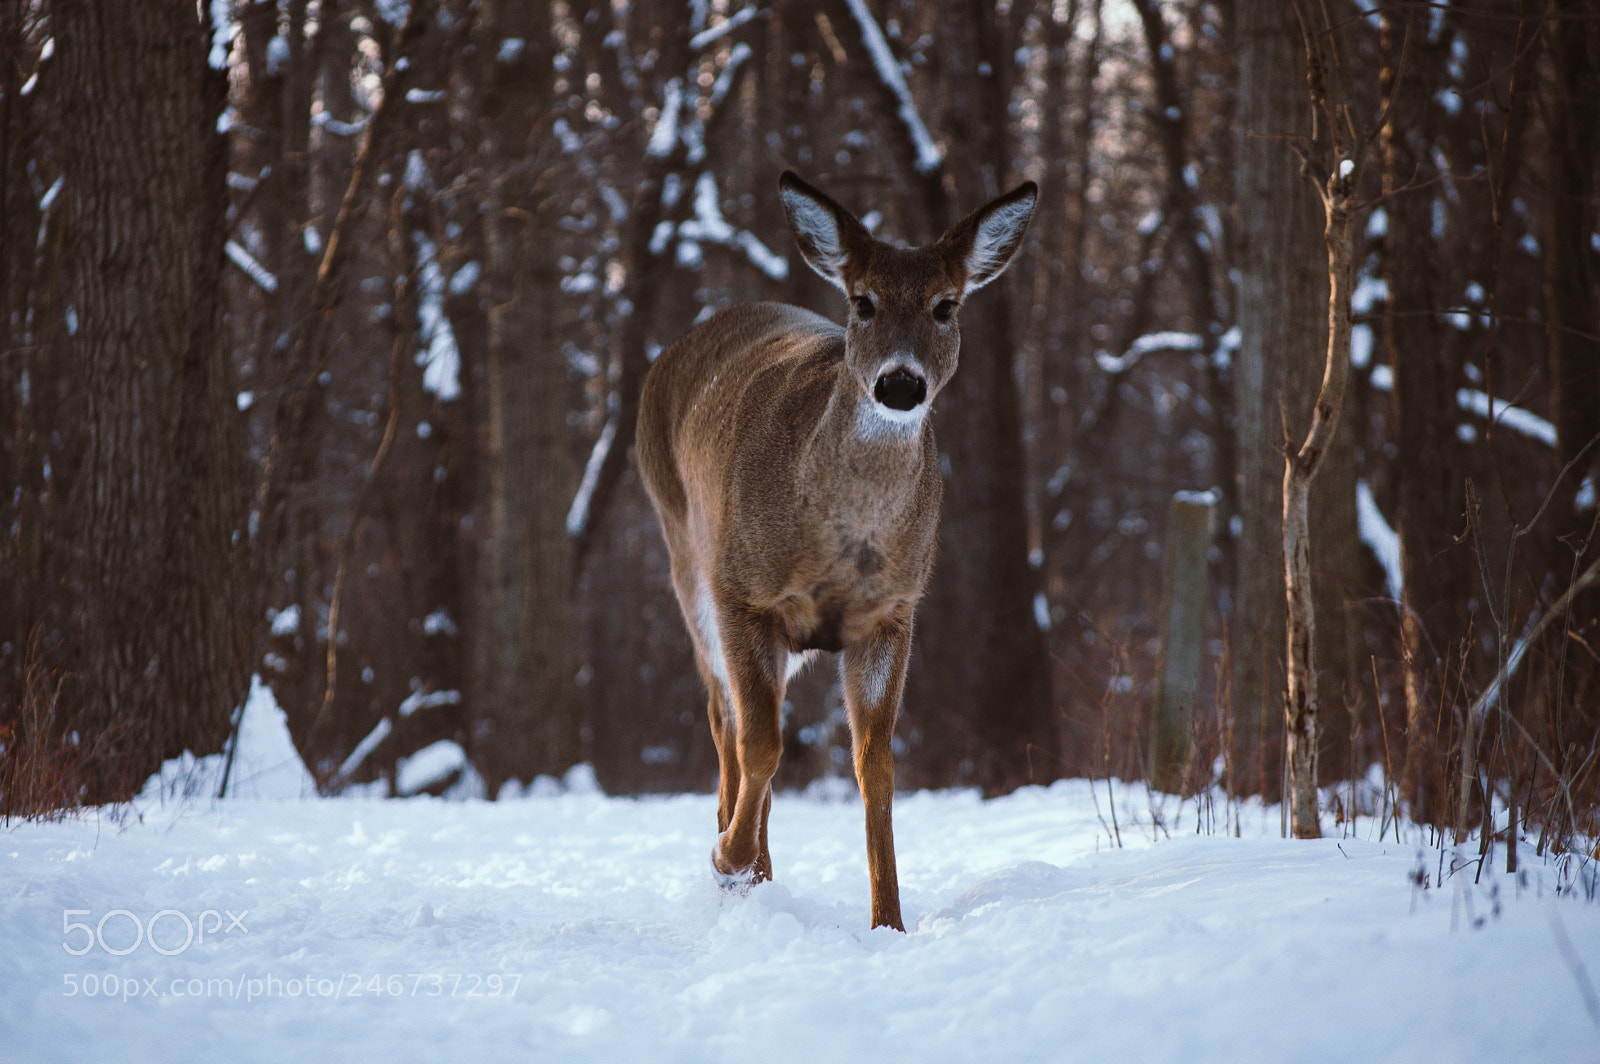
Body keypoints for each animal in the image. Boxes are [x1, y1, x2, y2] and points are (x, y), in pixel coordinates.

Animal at [636, 171, 1037, 931]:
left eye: (945, 305)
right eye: (863, 301)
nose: (901, 383)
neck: (840, 538)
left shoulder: (890, 615)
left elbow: (874, 765)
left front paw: (889, 921)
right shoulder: (743, 592)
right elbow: (761, 744)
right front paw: (727, 861)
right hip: (685, 557)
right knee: (726, 723)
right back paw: (739, 864)